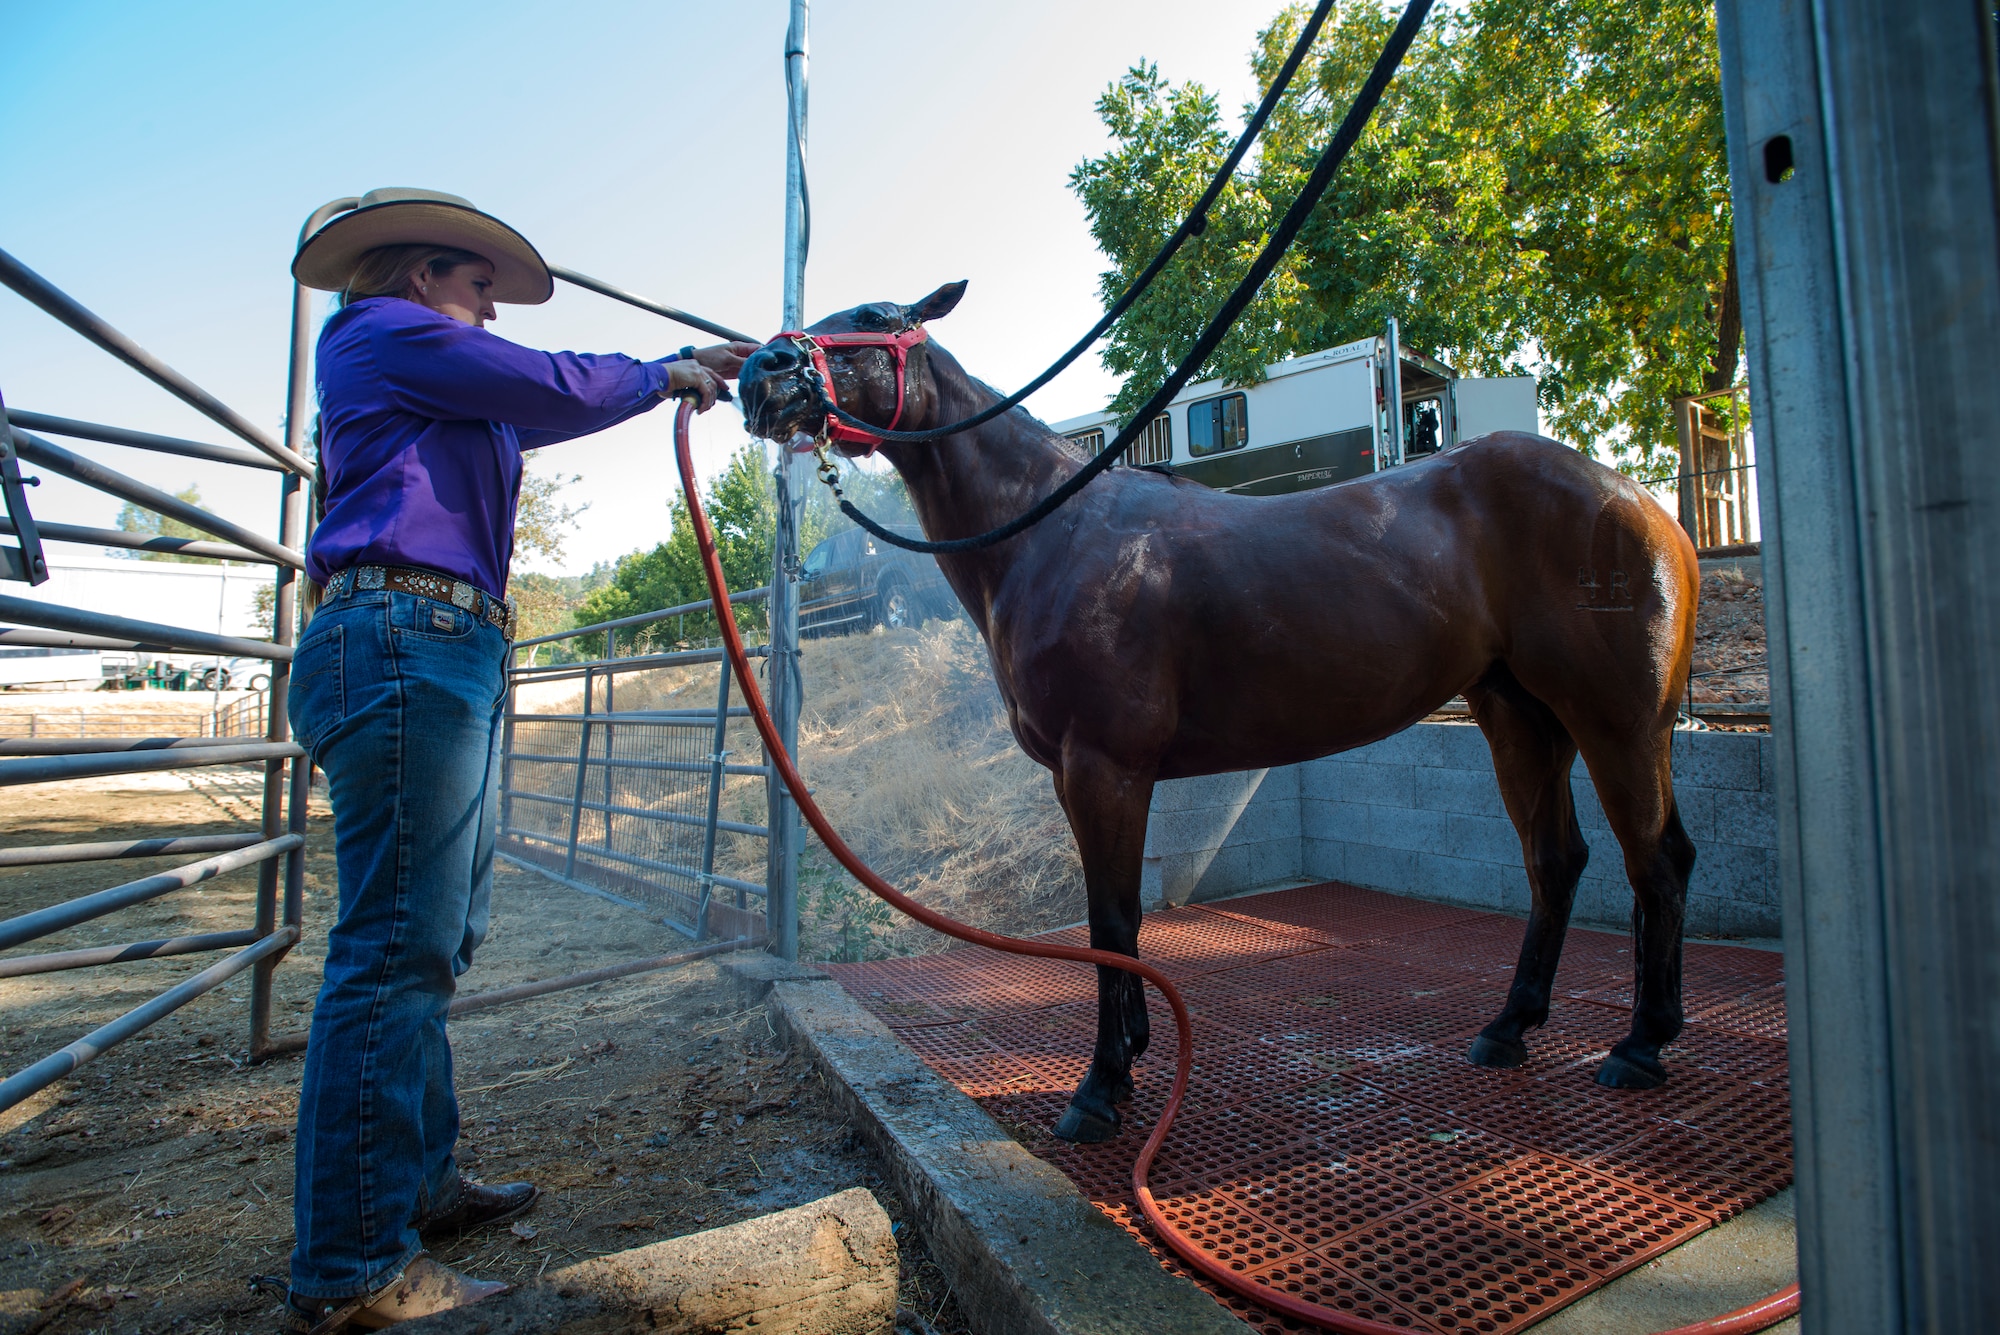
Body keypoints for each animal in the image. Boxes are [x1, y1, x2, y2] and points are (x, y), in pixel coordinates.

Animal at [744, 283, 1696, 1151]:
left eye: (875, 317)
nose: (764, 372)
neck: (1053, 530)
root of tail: (1641, 502)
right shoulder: (1084, 776)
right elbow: (1119, 917)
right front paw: (1130, 1055)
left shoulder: (1104, 768)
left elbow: (1112, 920)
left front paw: (1100, 1088)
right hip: (1518, 717)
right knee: (1556, 860)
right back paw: (1509, 1028)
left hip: (1618, 722)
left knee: (1657, 861)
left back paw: (1641, 1045)